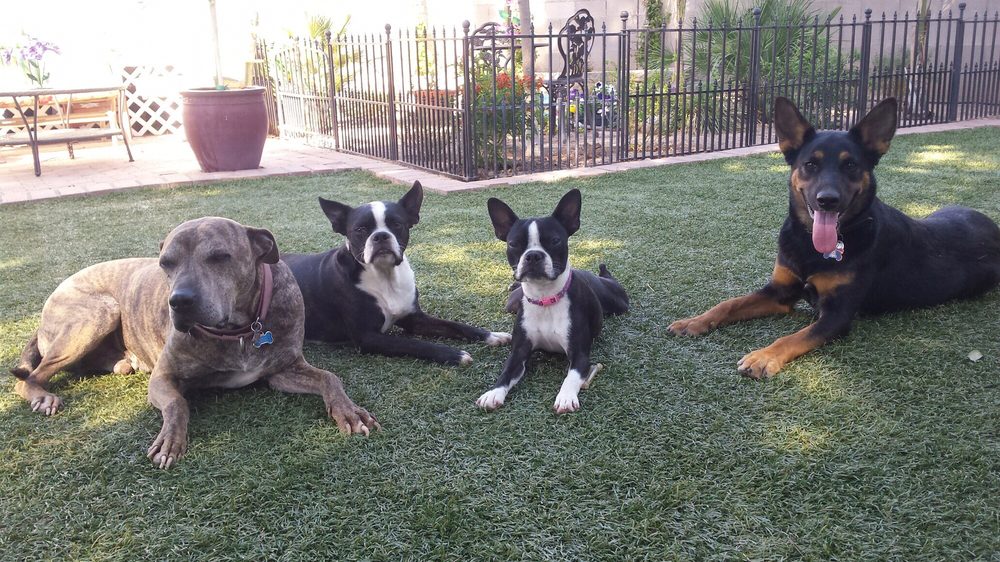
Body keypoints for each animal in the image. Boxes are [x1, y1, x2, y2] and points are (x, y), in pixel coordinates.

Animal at [11, 217, 379, 468]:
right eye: (165, 263)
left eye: (219, 257)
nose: (180, 301)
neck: (240, 330)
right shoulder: (163, 378)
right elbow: (177, 403)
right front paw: (170, 440)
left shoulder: (284, 370)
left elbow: (330, 377)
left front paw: (349, 412)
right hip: (95, 314)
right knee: (26, 379)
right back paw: (42, 397)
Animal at [283, 181, 512, 366]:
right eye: (360, 230)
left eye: (396, 224)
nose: (381, 236)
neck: (385, 276)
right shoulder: (368, 337)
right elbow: (413, 344)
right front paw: (454, 354)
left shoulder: (414, 318)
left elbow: (456, 325)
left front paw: (492, 335)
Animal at [477, 189, 629, 413]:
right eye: (513, 244)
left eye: (555, 241)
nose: (533, 255)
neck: (545, 298)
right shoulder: (518, 353)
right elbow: (505, 373)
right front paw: (493, 393)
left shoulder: (579, 354)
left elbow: (571, 377)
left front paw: (565, 398)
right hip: (511, 304)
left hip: (618, 301)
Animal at [669, 97, 1000, 378]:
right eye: (810, 164)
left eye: (850, 164)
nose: (827, 200)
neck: (810, 247)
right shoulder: (780, 291)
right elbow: (728, 304)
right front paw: (694, 322)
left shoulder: (837, 315)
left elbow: (791, 337)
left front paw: (763, 356)